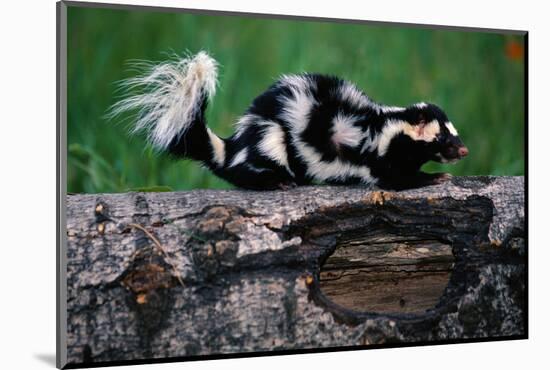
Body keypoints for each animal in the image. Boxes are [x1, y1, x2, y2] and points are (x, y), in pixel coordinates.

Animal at [111, 51, 470, 191]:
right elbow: (394, 178)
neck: (387, 126)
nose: (463, 151)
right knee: (250, 171)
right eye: (443, 138)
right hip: (271, 136)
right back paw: (278, 181)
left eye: (455, 133)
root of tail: (231, 147)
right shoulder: (378, 156)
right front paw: (435, 178)